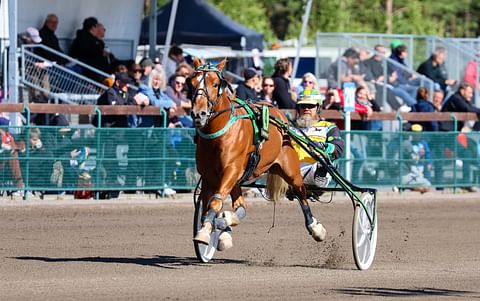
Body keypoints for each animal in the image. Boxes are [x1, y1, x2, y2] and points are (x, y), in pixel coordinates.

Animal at [189, 57, 324, 250]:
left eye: (215, 84)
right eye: (191, 83)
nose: (198, 114)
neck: (219, 133)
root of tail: (279, 114)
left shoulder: (231, 170)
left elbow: (215, 202)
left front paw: (210, 229)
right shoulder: (209, 177)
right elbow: (208, 208)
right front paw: (214, 228)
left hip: (290, 169)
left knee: (301, 193)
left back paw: (315, 227)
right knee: (241, 206)